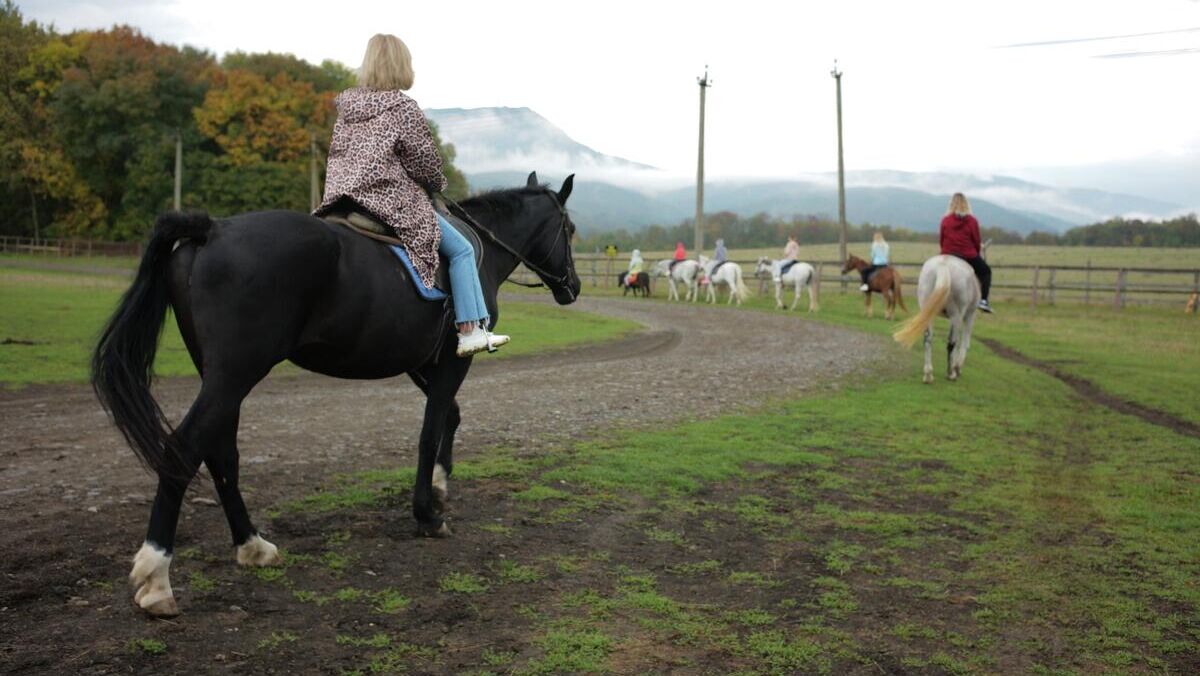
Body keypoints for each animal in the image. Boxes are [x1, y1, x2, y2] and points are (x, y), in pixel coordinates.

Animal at [93, 171, 580, 614]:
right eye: (571, 230)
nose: (573, 287)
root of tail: (213, 229)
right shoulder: (453, 359)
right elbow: (430, 431)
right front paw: (427, 513)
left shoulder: (420, 361)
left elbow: (450, 416)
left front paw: (441, 485)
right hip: (235, 373)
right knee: (183, 449)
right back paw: (157, 576)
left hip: (220, 376)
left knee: (220, 453)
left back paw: (252, 545)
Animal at [897, 255, 979, 384]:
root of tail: (942, 264)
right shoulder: (969, 316)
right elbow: (965, 342)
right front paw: (957, 367)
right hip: (956, 316)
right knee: (951, 343)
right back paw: (951, 373)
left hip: (928, 312)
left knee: (927, 340)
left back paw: (928, 375)